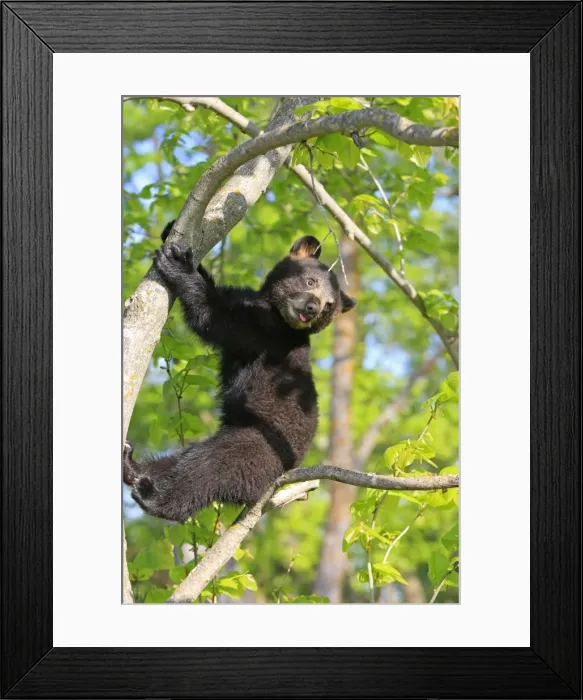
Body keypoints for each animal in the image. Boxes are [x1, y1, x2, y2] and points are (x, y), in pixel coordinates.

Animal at [123, 229, 356, 523]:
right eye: (310, 280)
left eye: (328, 306)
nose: (313, 308)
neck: (272, 308)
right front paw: (173, 234)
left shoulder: (268, 334)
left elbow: (215, 318)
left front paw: (178, 265)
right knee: (179, 460)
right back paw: (133, 467)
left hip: (258, 449)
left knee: (212, 466)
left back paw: (153, 497)